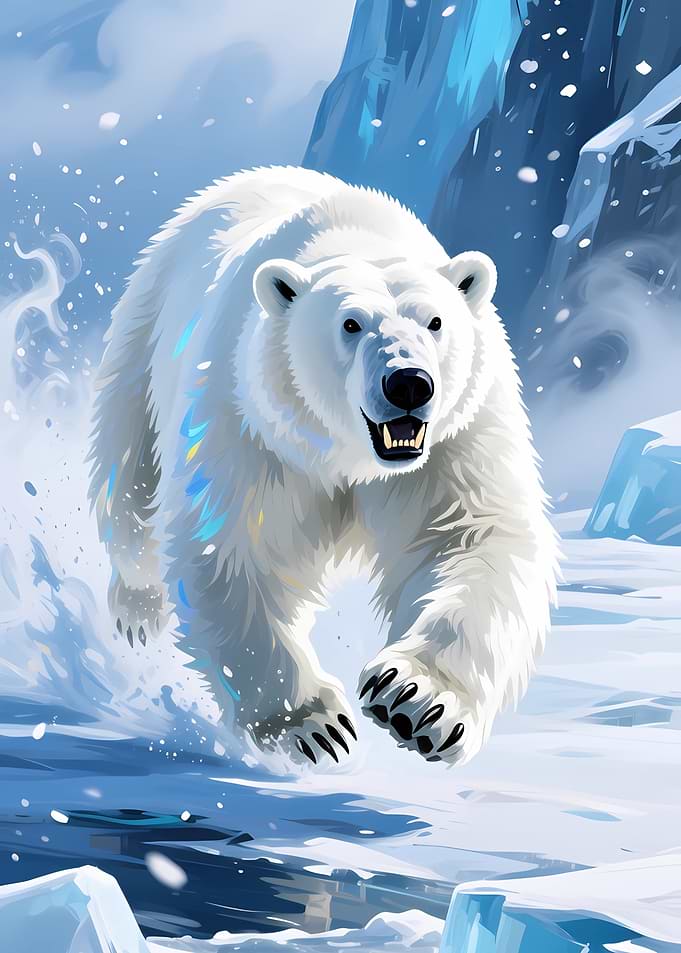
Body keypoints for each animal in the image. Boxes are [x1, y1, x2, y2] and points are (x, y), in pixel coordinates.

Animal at [89, 166, 558, 767]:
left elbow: (478, 538)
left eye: (435, 321)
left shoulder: (458, 437)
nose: (408, 383)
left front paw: (416, 702)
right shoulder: (257, 425)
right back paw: (138, 607)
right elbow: (233, 548)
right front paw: (312, 725)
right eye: (351, 324)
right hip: (144, 337)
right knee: (130, 490)